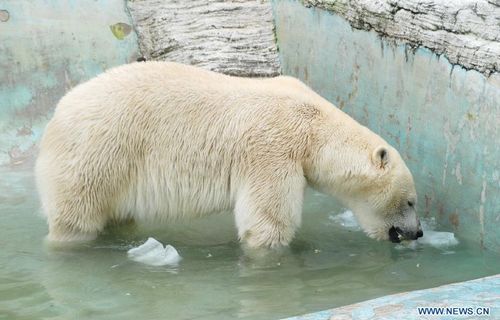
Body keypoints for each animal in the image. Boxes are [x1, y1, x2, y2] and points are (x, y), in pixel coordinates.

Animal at [36, 62, 422, 248]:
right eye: (411, 201)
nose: (417, 233)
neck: (313, 127)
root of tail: (55, 115)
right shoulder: (273, 149)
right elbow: (268, 222)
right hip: (96, 154)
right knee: (76, 218)